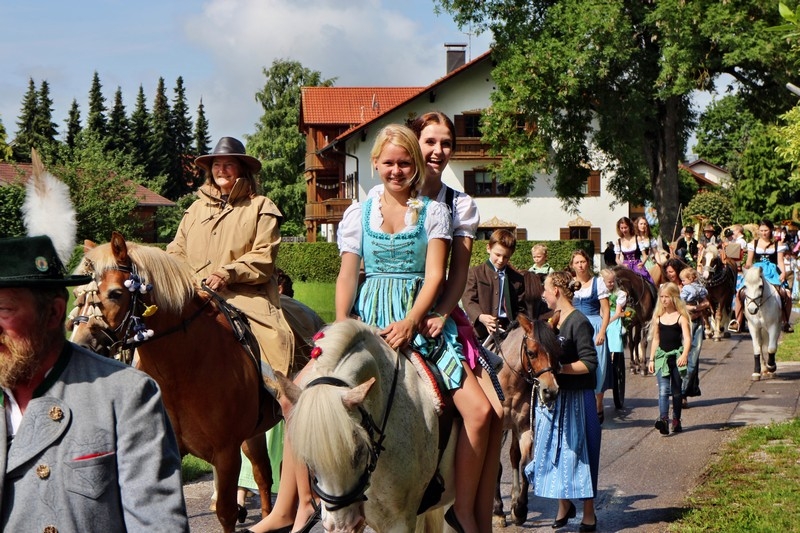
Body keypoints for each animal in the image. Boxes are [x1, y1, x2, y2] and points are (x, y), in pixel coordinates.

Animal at [67, 234, 320, 532]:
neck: (183, 369)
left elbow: (225, 512)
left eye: (116, 293)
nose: (82, 346)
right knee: (262, 474)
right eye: (77, 294)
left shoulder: (226, 452)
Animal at [488, 314, 564, 524]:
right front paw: (498, 510)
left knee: (514, 456)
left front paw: (520, 508)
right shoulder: (497, 429)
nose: (551, 391)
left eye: (557, 351)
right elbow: (496, 466)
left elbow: (524, 464)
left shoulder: (523, 427)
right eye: (531, 353)